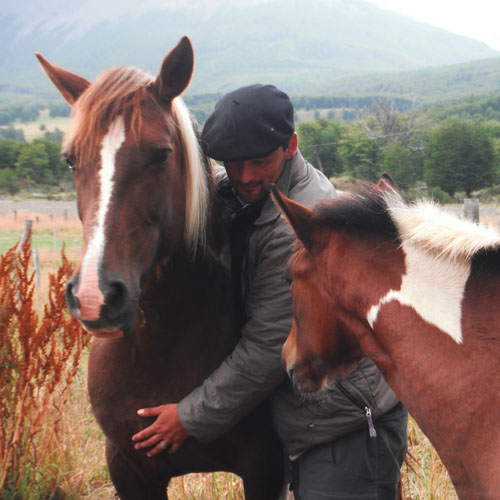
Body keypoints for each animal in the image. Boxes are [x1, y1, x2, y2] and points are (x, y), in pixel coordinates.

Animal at [35, 37, 284, 498]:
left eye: (161, 155)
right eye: (70, 160)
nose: (96, 297)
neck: (159, 350)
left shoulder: (266, 470)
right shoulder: (127, 467)